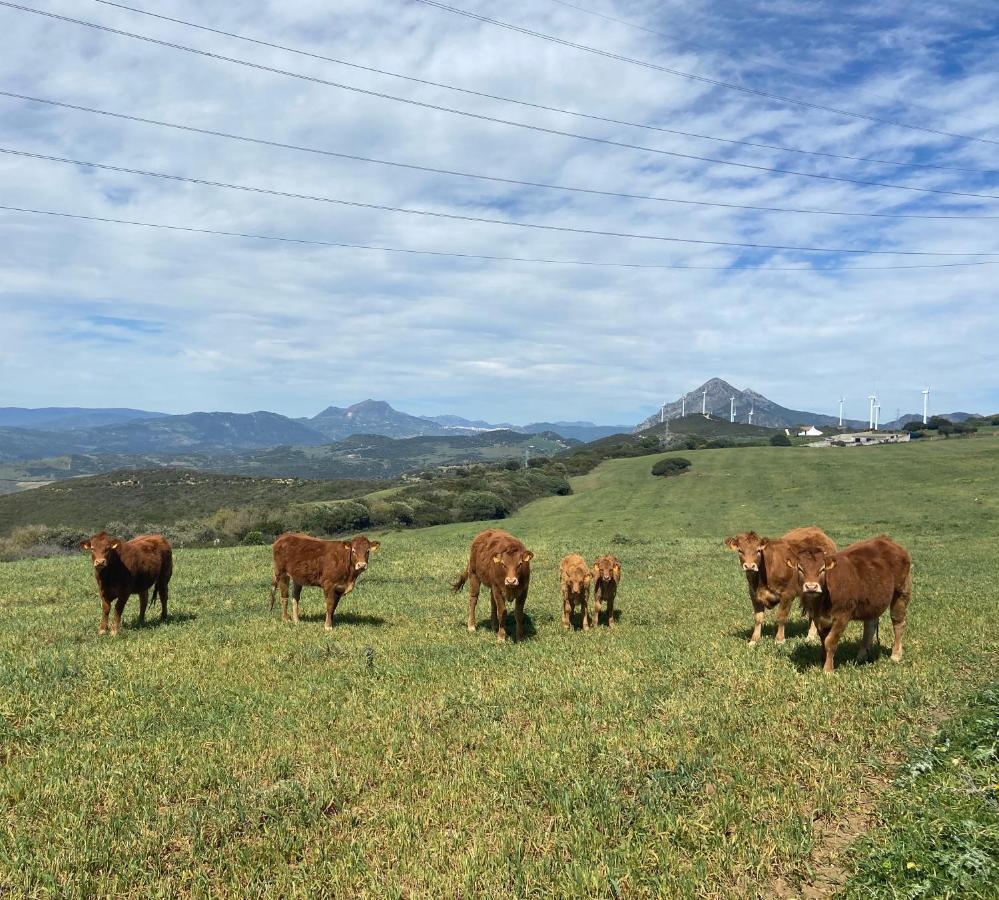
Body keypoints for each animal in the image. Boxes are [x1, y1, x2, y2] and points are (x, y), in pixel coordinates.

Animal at [788, 536, 916, 676]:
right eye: (800, 568)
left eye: (822, 569)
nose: (811, 587)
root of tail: (887, 540)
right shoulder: (818, 618)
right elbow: (823, 640)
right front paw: (823, 659)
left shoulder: (842, 616)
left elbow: (830, 642)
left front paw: (828, 669)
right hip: (872, 601)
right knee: (870, 625)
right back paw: (862, 656)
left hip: (901, 592)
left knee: (898, 623)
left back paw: (896, 655)